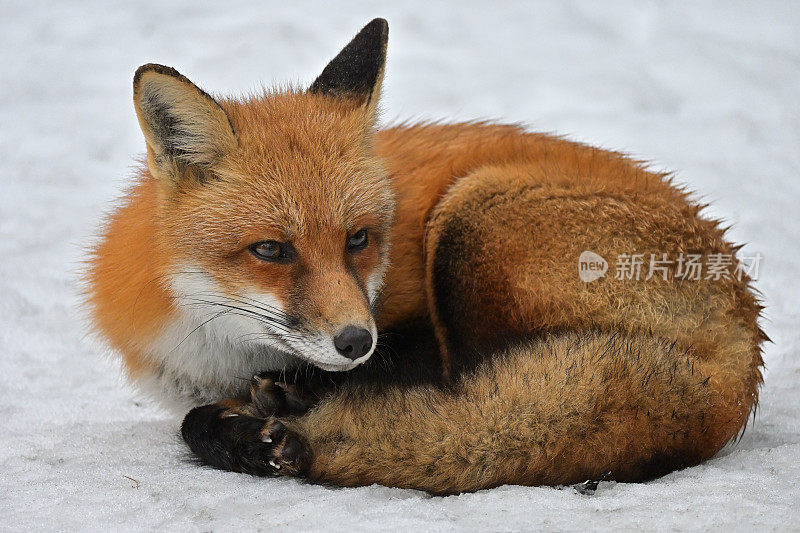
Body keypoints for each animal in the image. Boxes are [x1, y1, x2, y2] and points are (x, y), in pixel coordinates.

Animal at [84, 18, 764, 492]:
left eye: (358, 239)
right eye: (270, 250)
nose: (355, 341)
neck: (224, 356)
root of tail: (744, 336)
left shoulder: (408, 327)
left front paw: (285, 416)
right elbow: (193, 418)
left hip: (471, 215)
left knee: (478, 402)